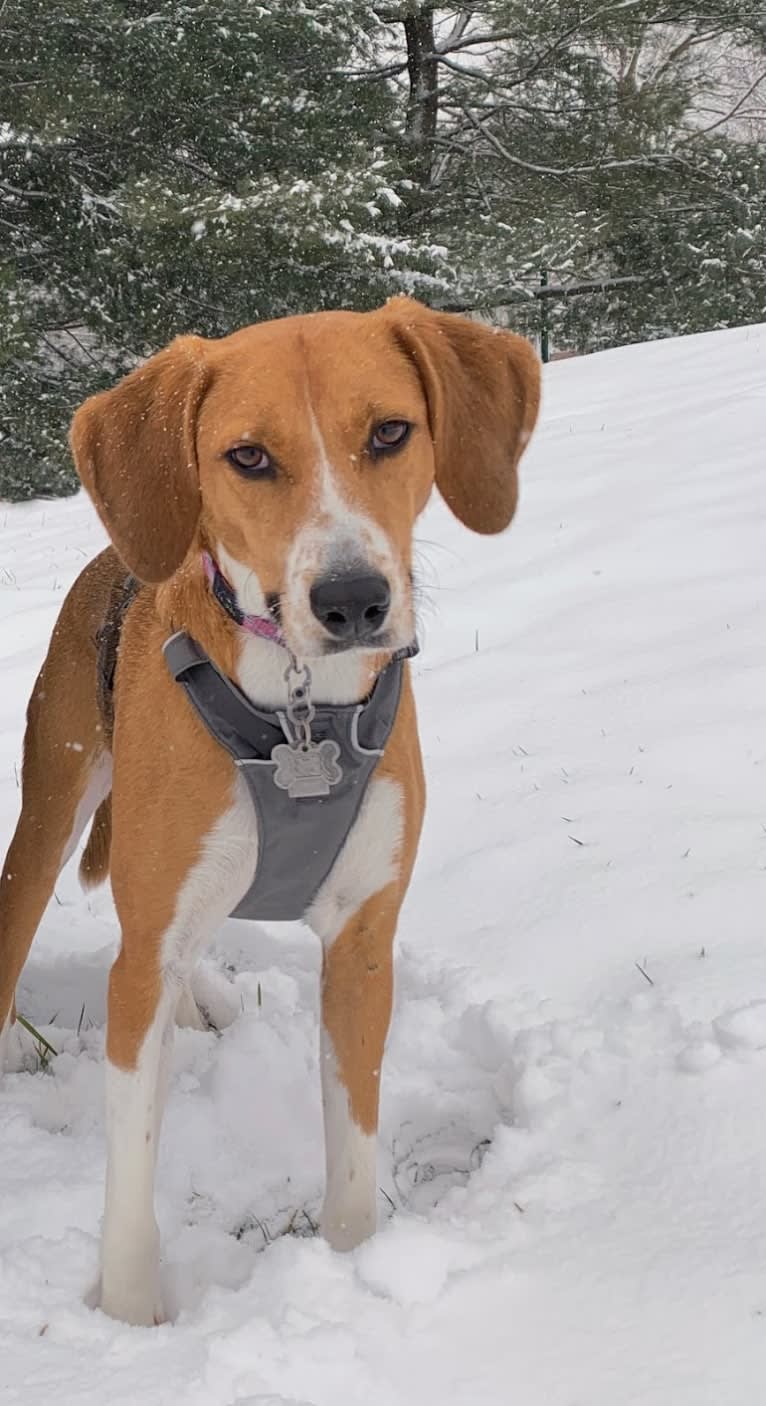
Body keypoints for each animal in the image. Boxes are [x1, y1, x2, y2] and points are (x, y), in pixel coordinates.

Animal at [0, 296, 536, 1316]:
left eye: (391, 431)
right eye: (248, 456)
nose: (354, 600)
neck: (297, 708)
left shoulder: (363, 945)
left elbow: (354, 1153)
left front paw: (353, 1266)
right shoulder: (140, 962)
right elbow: (130, 1179)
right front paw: (129, 1322)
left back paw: (201, 1000)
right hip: (51, 808)